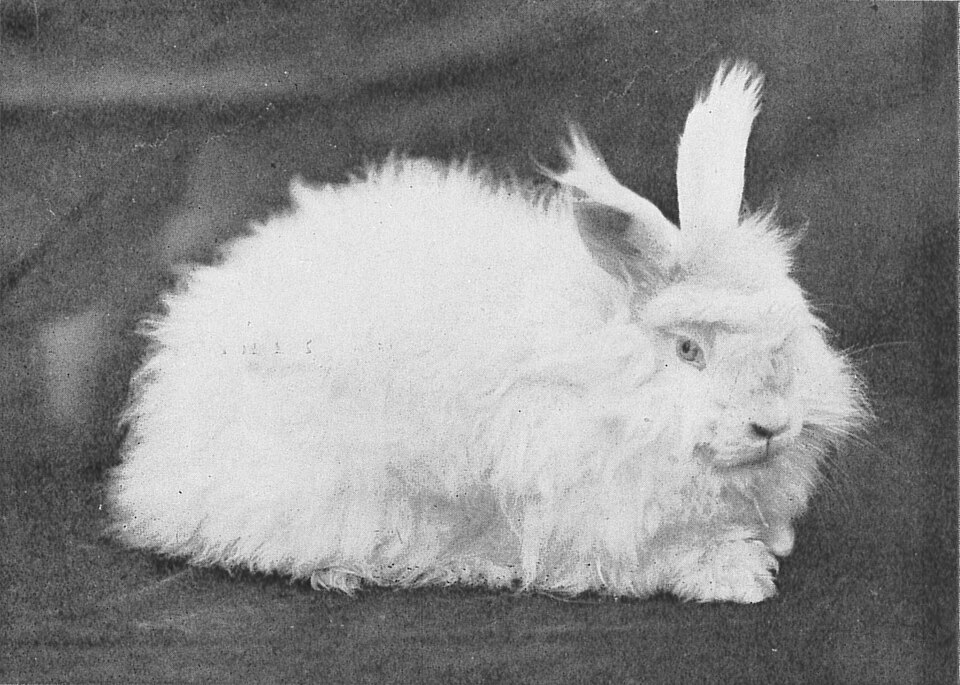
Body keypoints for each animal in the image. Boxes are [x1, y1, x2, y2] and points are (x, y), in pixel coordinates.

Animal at [107, 61, 865, 603]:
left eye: (787, 340)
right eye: (688, 349)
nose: (773, 423)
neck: (600, 379)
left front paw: (770, 545)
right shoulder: (592, 515)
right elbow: (662, 555)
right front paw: (738, 578)